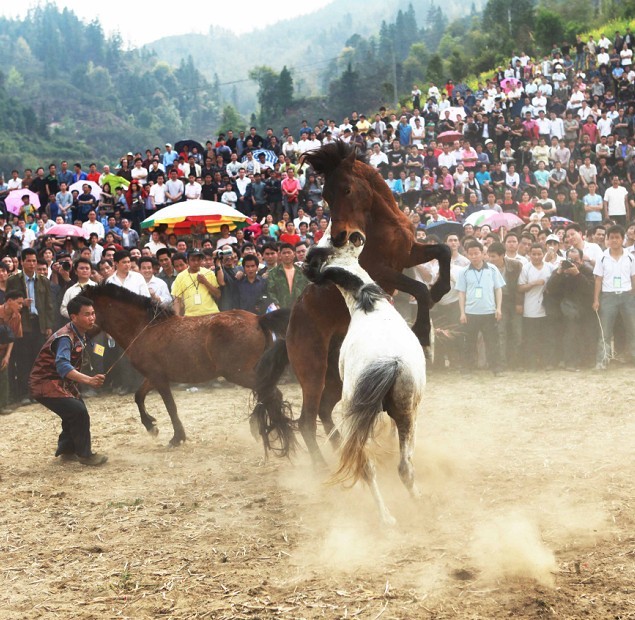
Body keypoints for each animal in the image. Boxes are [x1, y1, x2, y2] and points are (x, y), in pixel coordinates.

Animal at [83, 284, 294, 450]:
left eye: (87, 310)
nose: (80, 336)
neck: (145, 328)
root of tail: (259, 319)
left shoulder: (159, 378)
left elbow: (170, 406)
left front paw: (177, 438)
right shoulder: (153, 375)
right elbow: (139, 396)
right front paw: (151, 427)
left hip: (239, 373)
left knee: (271, 393)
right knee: (267, 394)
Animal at [258, 143, 452, 468]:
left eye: (346, 189)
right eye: (325, 196)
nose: (338, 236)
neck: (383, 222)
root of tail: (289, 329)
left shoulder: (410, 253)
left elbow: (444, 251)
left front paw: (441, 288)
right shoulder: (383, 270)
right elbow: (419, 290)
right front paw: (425, 336)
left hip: (336, 376)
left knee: (325, 410)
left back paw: (341, 448)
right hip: (313, 370)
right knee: (307, 419)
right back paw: (321, 467)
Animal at [304, 235, 424, 524]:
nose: (304, 267)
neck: (369, 305)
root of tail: (388, 362)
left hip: (355, 417)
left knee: (368, 466)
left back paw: (387, 516)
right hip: (406, 414)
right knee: (402, 466)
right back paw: (412, 502)